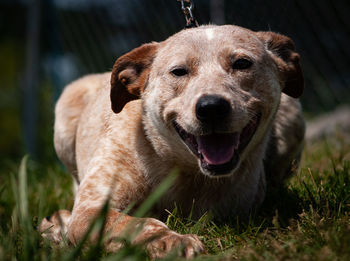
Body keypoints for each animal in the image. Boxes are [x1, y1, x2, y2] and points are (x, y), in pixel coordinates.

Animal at [39, 24, 304, 258]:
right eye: (178, 71)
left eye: (242, 63)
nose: (211, 107)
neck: (185, 172)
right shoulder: (89, 211)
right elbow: (137, 223)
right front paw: (172, 241)